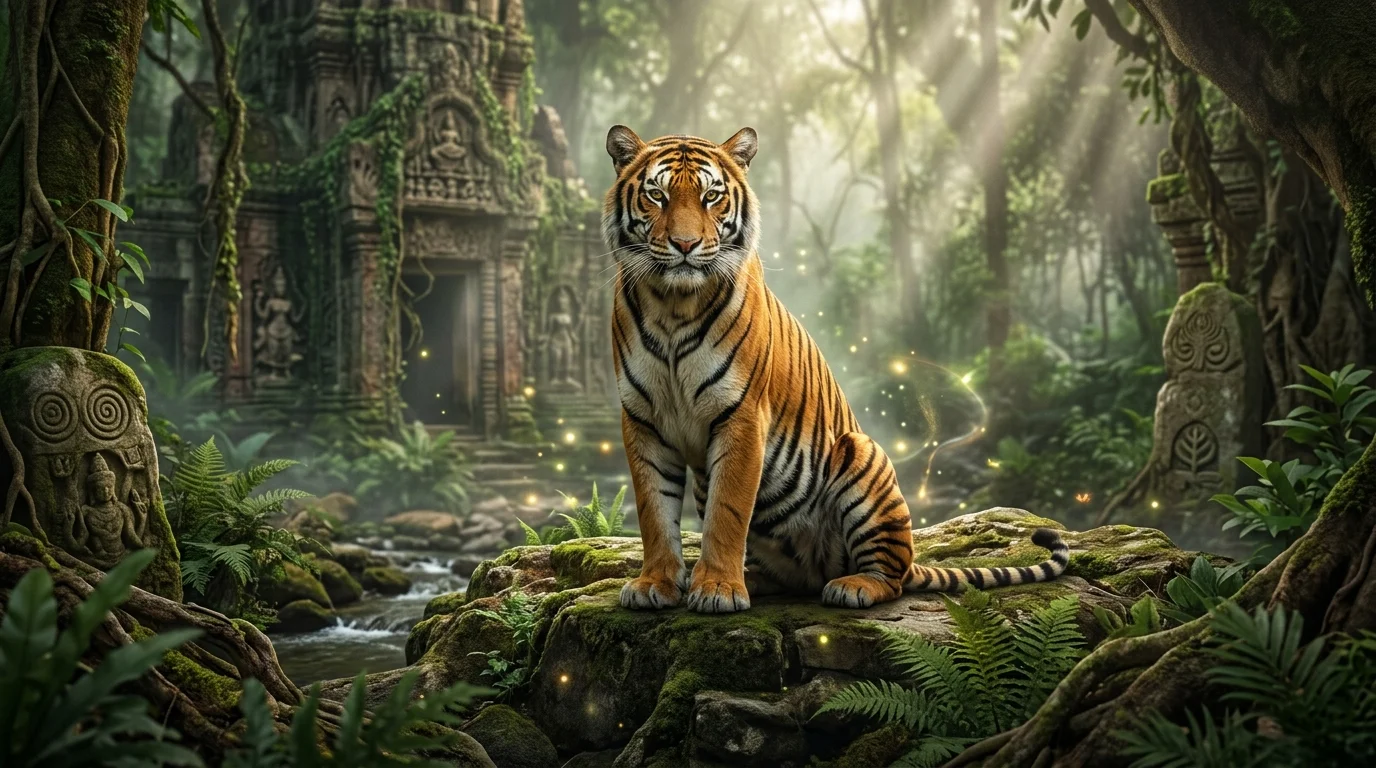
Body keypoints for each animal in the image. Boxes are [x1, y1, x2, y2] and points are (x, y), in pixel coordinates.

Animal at [603, 124, 1069, 613]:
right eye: (657, 195)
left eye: (711, 196)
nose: (685, 245)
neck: (673, 306)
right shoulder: (642, 420)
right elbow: (654, 511)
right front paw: (655, 583)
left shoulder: (742, 417)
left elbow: (726, 514)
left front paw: (717, 590)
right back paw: (755, 578)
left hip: (862, 456)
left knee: (890, 576)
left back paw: (851, 586)